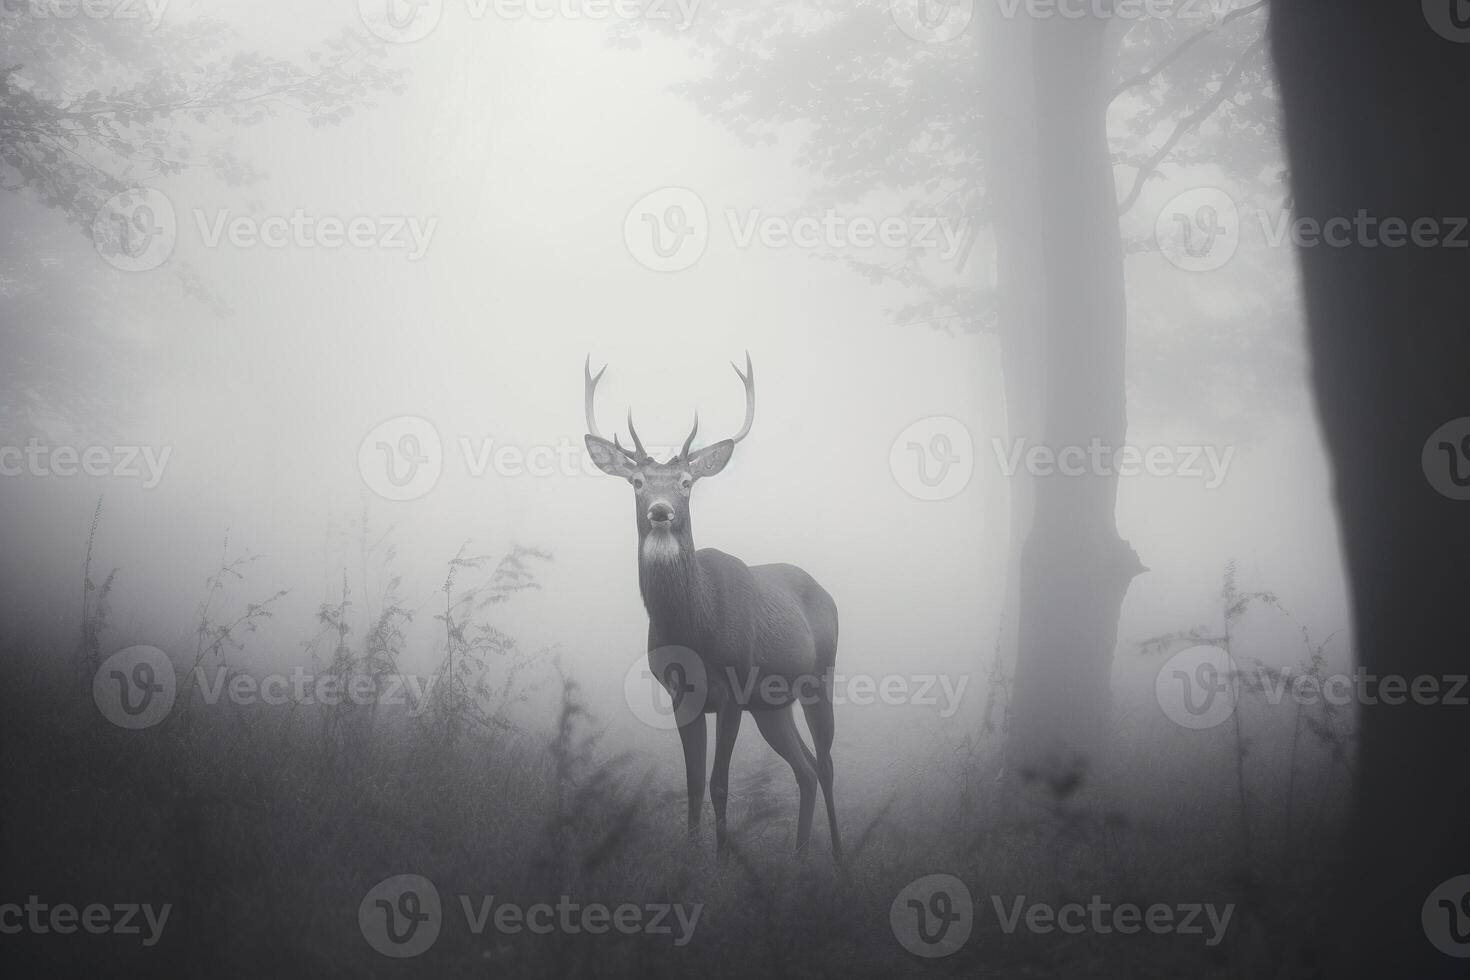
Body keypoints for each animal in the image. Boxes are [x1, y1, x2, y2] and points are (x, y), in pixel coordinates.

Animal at [582, 357, 846, 863]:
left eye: (687, 483)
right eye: (637, 482)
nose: (660, 511)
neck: (694, 633)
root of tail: (827, 593)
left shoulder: (732, 689)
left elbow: (720, 783)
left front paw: (723, 864)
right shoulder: (681, 693)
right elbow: (692, 784)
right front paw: (691, 859)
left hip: (819, 676)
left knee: (826, 765)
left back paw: (840, 861)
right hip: (772, 704)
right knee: (804, 768)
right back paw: (799, 857)